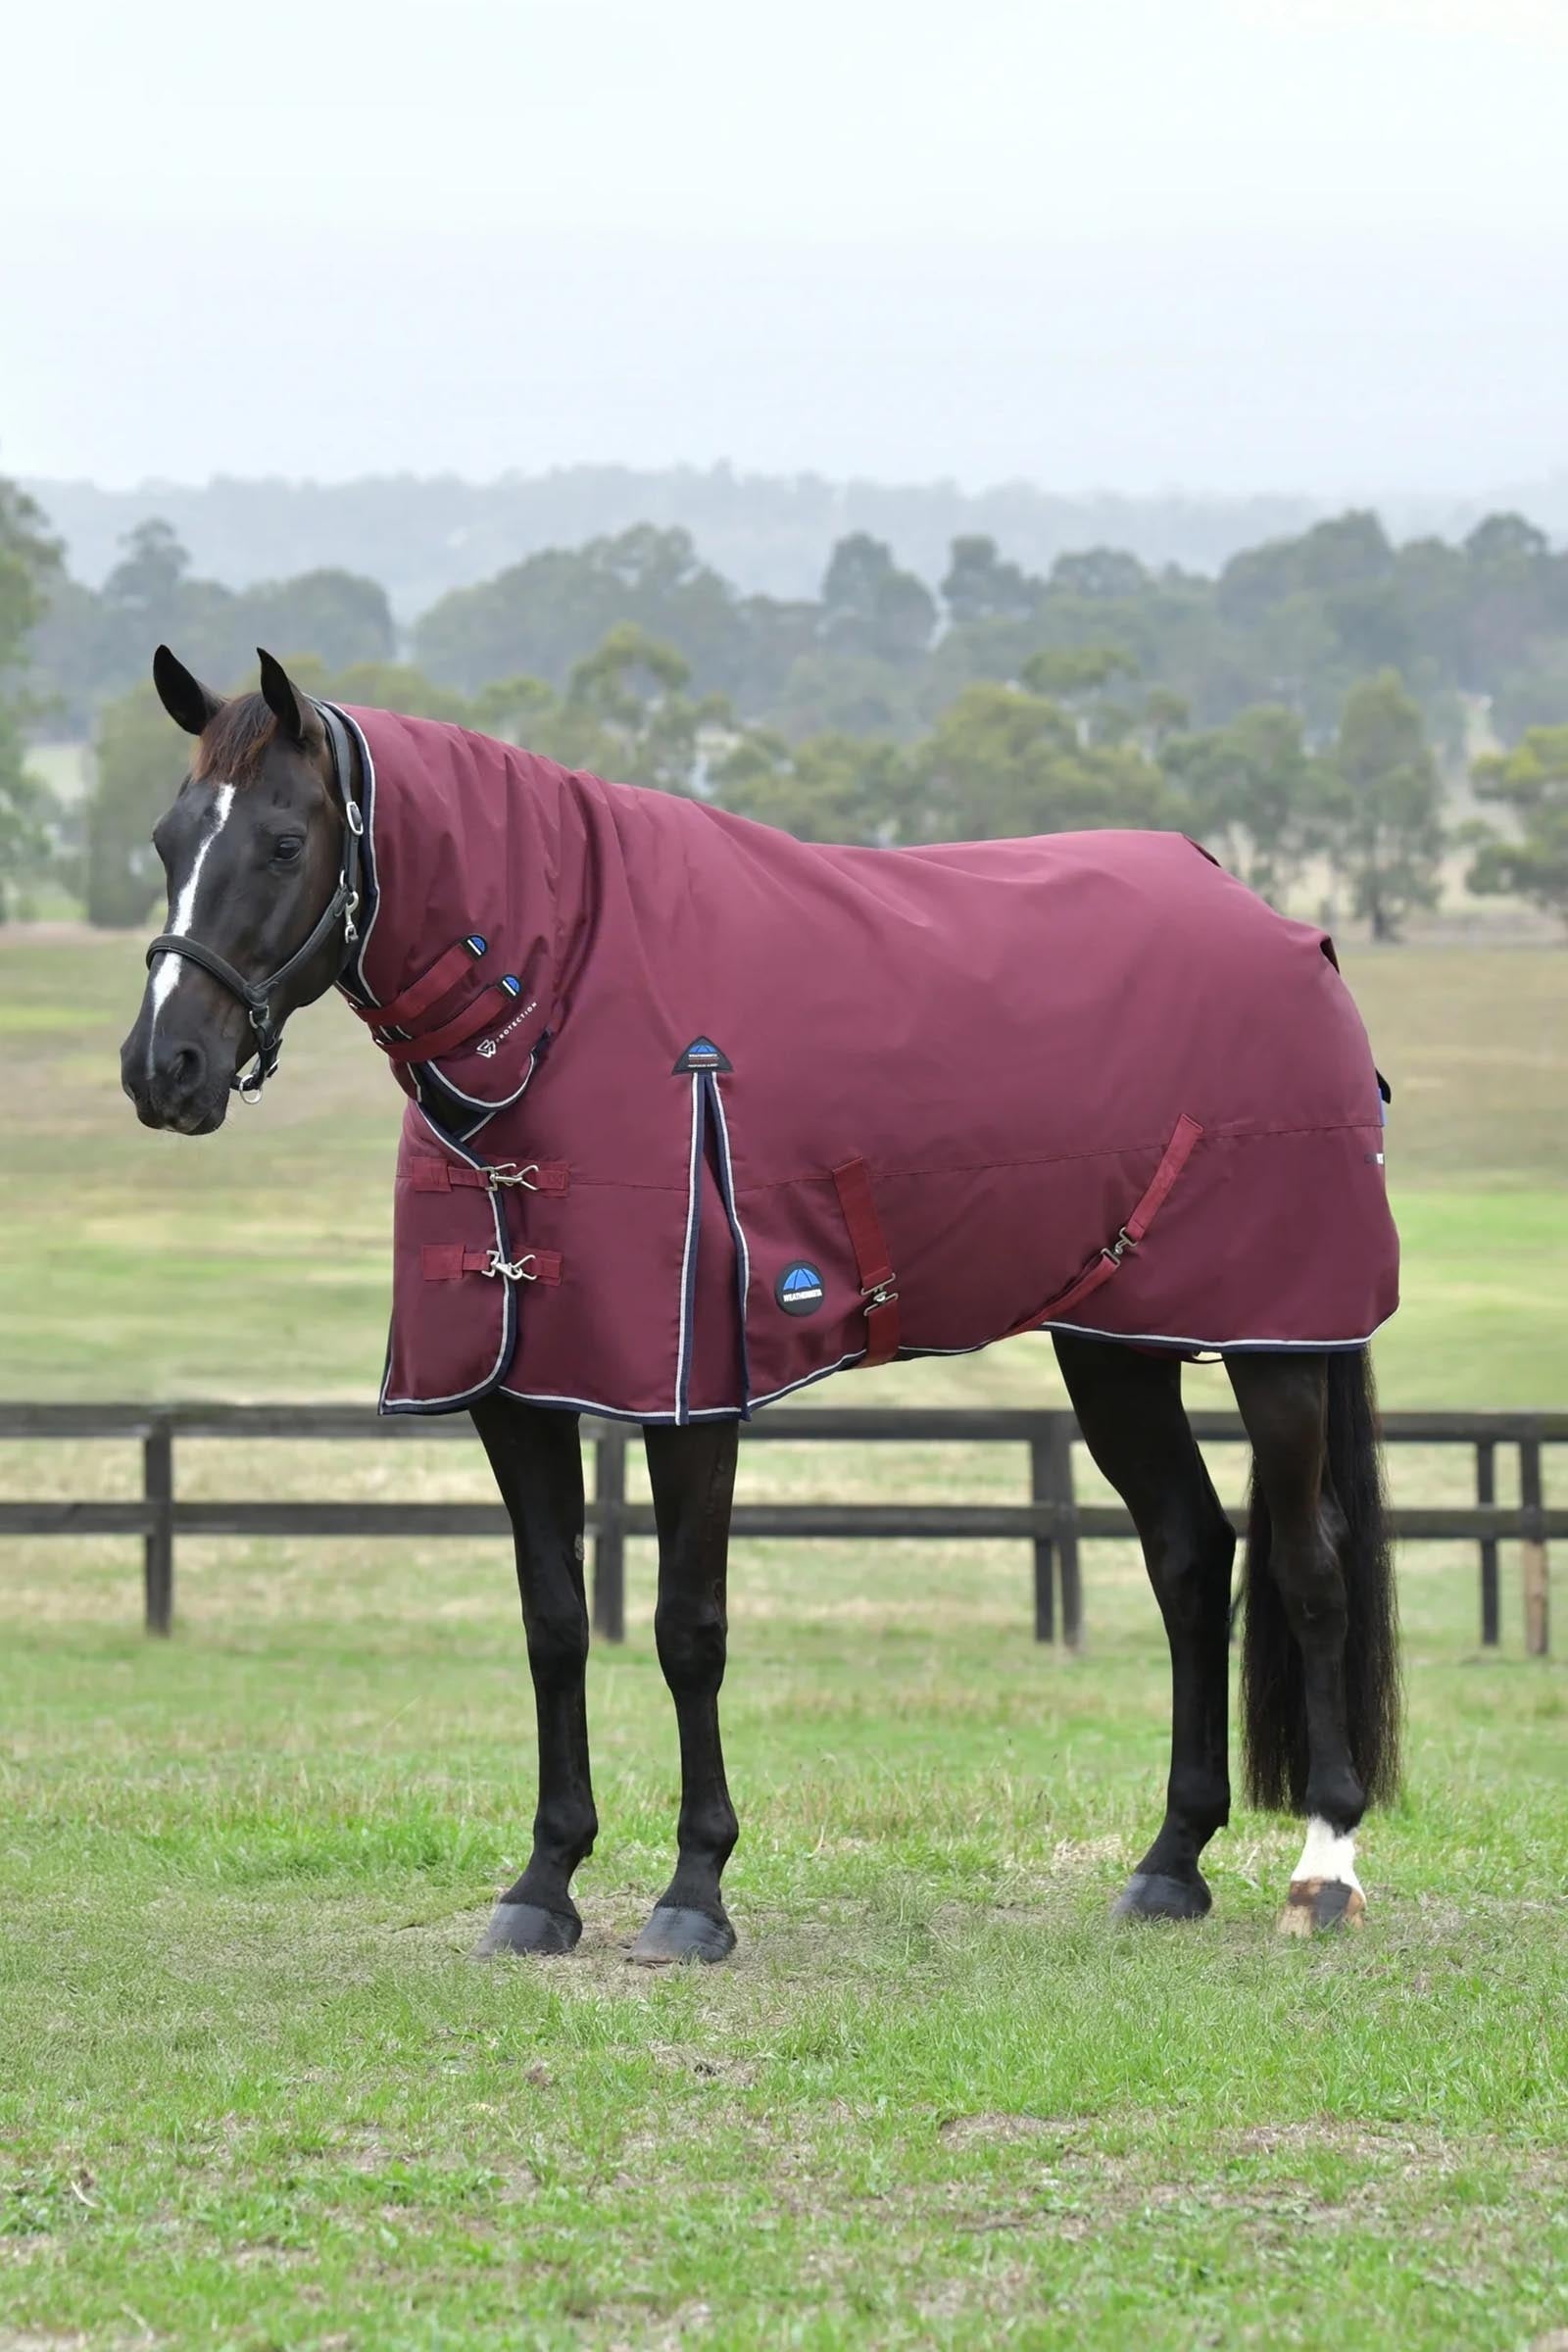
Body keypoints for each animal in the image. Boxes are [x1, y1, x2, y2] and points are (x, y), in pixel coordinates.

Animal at [119, 645, 1401, 1962]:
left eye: (282, 841)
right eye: (168, 838)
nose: (163, 1068)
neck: (563, 999)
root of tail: (1282, 928)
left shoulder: (693, 1397)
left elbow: (690, 1630)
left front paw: (694, 1891)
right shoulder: (516, 1393)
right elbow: (554, 1624)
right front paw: (543, 1882)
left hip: (1276, 1342)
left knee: (1309, 1568)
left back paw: (1324, 1867)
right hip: (1113, 1346)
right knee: (1190, 1558)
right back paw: (1169, 1863)